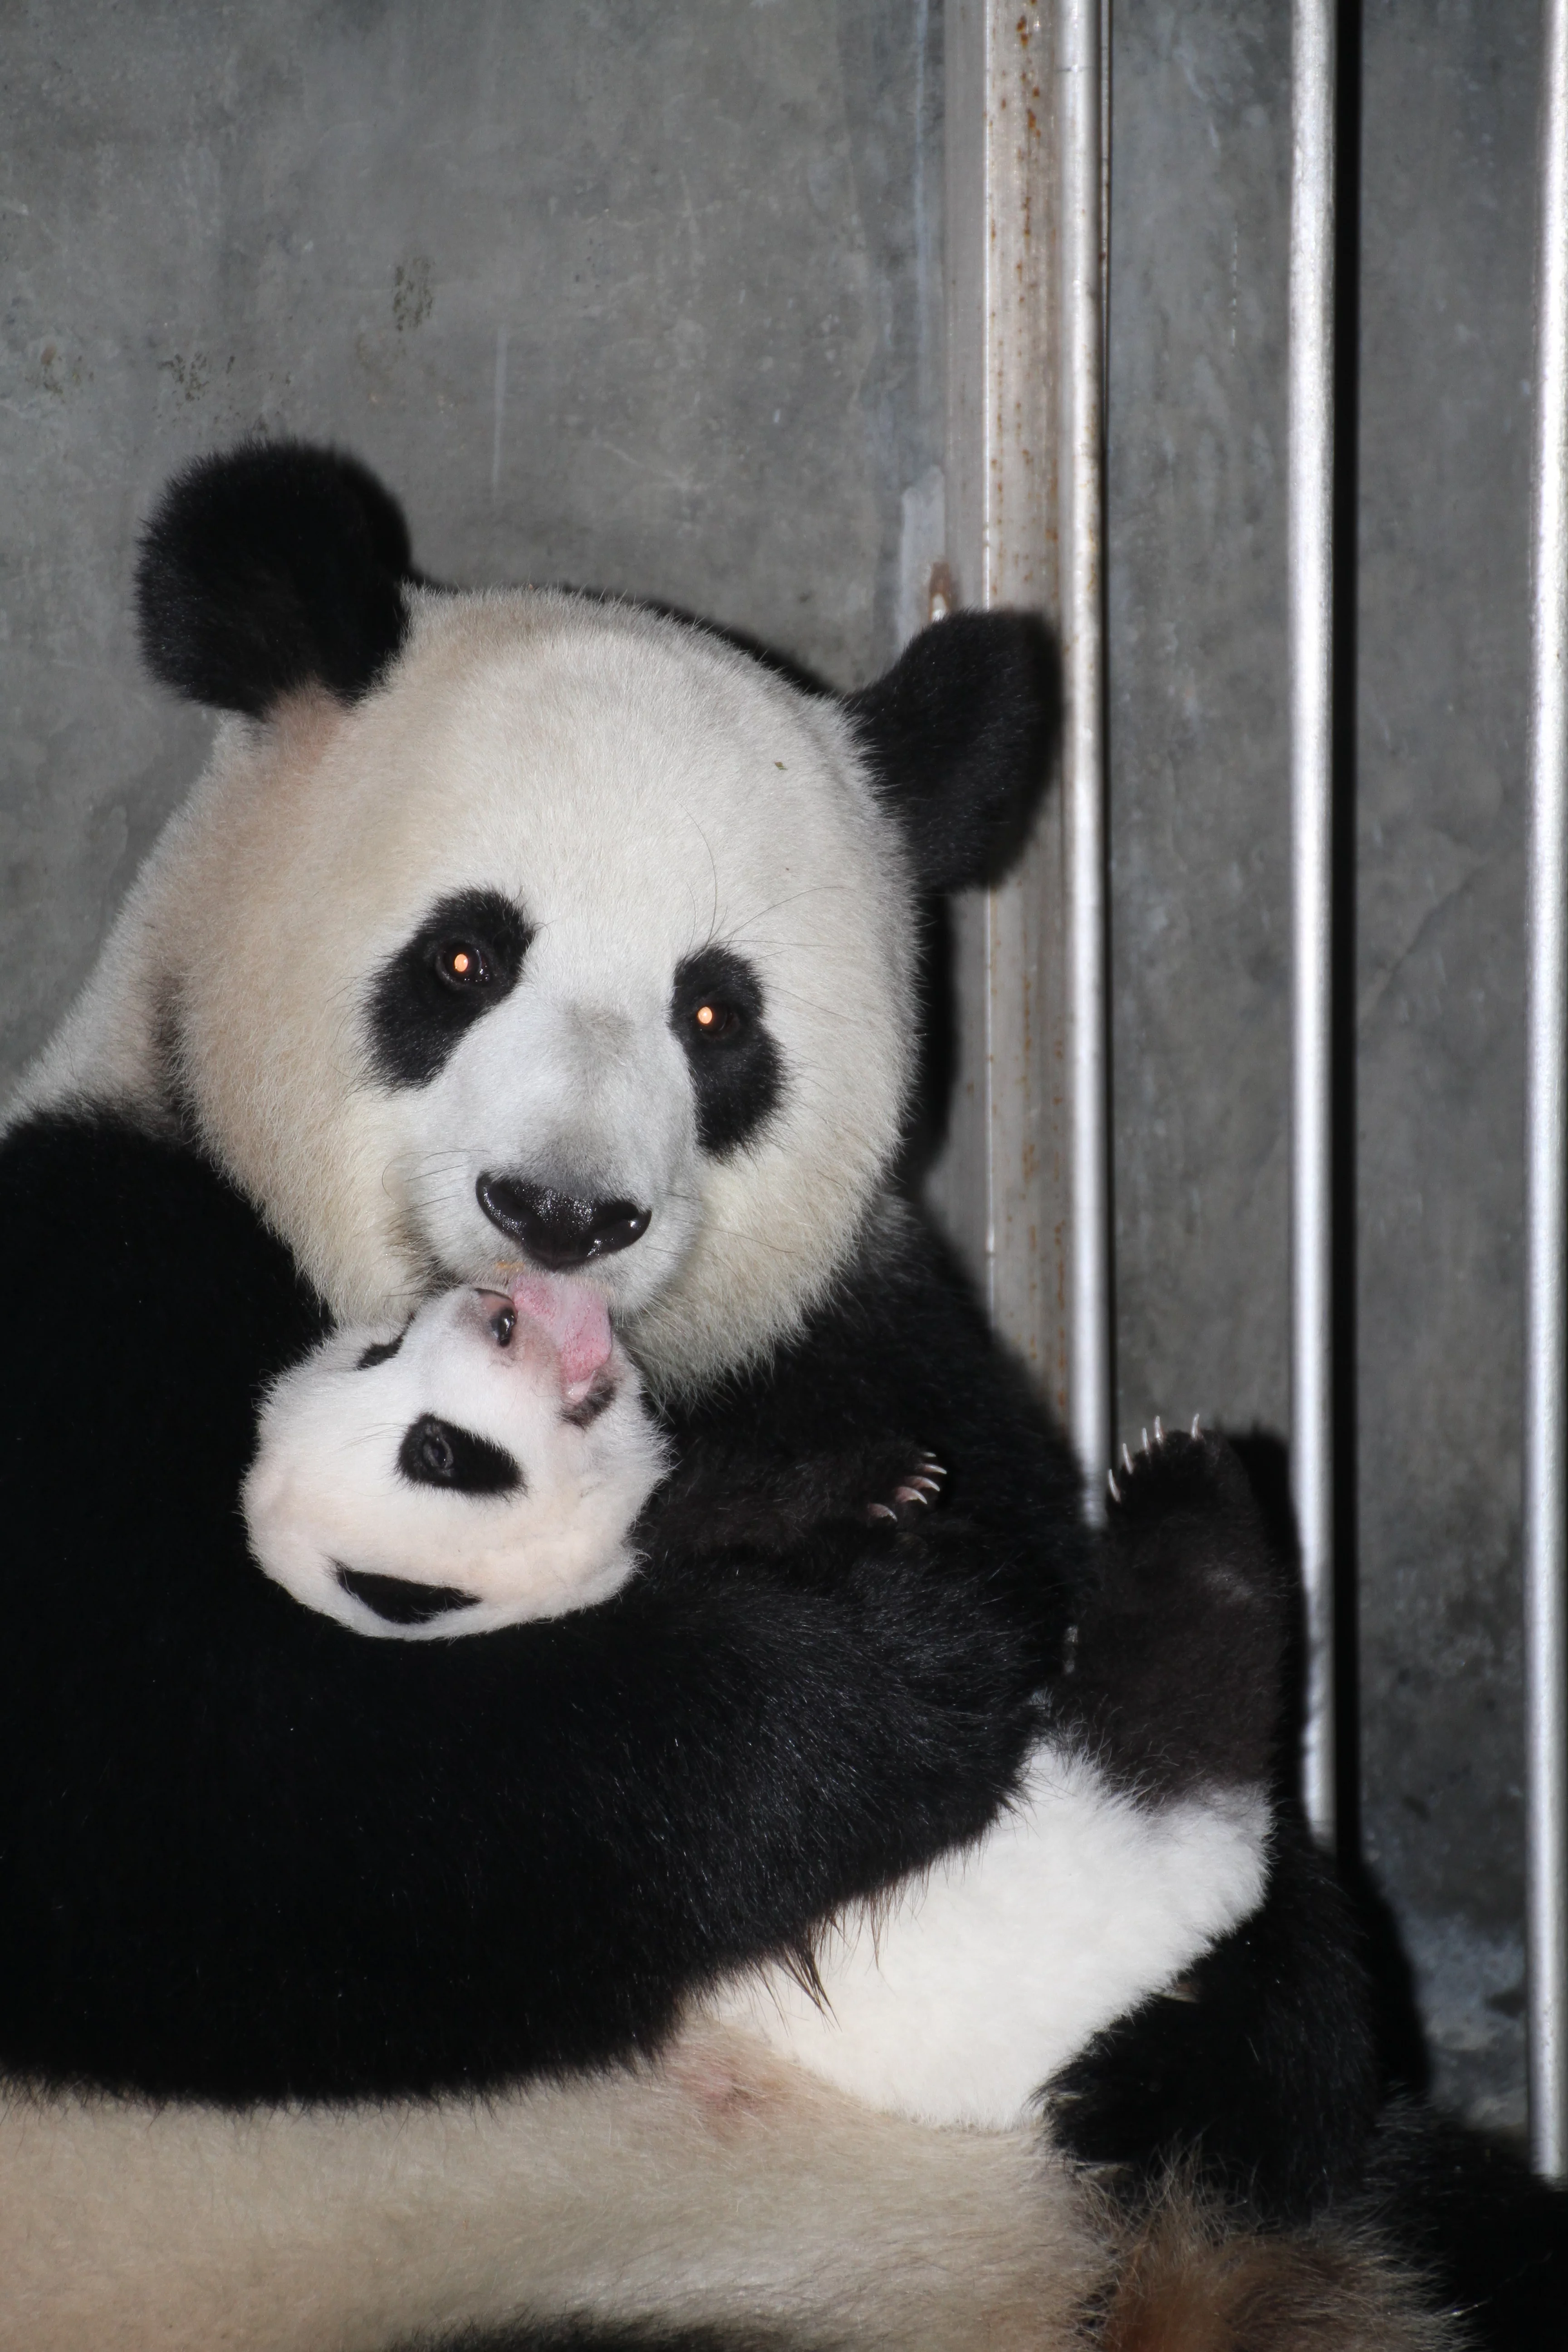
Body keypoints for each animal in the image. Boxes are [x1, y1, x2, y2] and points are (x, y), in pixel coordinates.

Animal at [0, 441, 1546, 2351]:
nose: (562, 1213)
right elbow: (198, 1790)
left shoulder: (868, 1341)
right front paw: (894, 1668)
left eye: (715, 1014)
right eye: (463, 961)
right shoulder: (95, 1272)